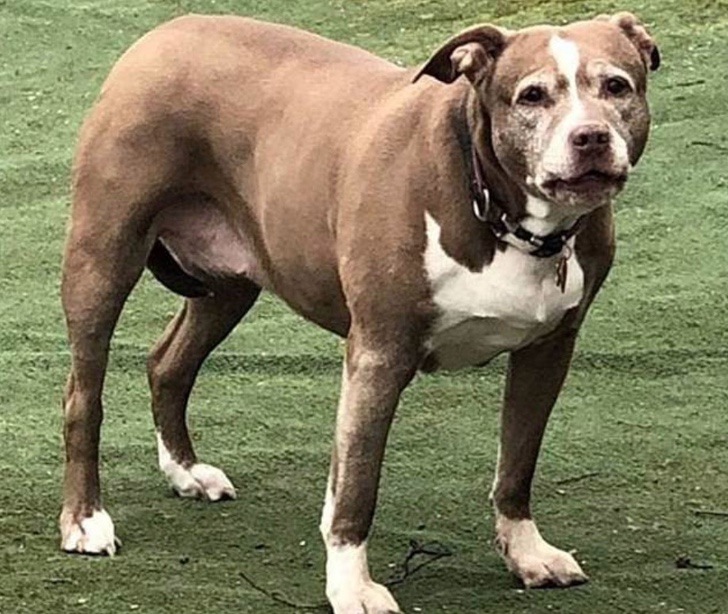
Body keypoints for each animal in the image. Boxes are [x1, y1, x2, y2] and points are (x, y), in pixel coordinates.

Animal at [58, 10, 660, 614]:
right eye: (532, 95)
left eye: (616, 86)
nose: (590, 137)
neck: (498, 210)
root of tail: (163, 31)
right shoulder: (378, 355)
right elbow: (356, 487)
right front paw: (352, 587)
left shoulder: (549, 349)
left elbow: (517, 463)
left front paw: (528, 554)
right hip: (102, 259)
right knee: (83, 397)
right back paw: (85, 520)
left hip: (231, 281)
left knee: (168, 364)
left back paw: (185, 471)